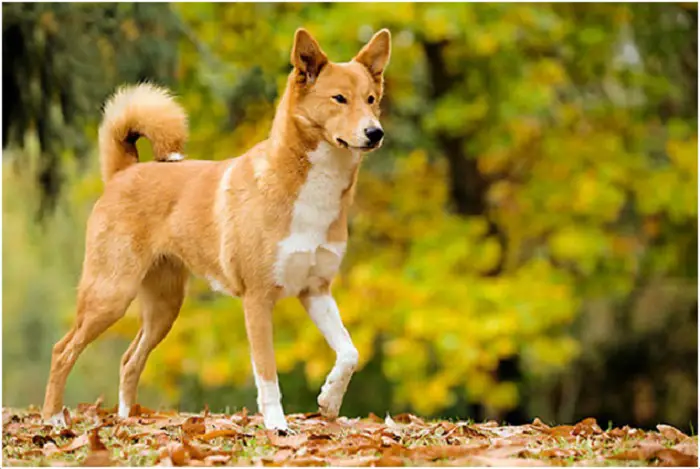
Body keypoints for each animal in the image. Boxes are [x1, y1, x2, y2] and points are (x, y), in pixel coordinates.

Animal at [41, 25, 392, 430]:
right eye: (339, 99)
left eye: (371, 99)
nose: (375, 133)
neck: (307, 189)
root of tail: (124, 172)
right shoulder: (258, 300)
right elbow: (267, 373)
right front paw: (277, 426)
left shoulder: (315, 290)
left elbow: (350, 352)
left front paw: (329, 400)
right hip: (110, 294)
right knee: (62, 350)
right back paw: (53, 418)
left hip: (164, 308)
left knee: (130, 359)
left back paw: (128, 419)